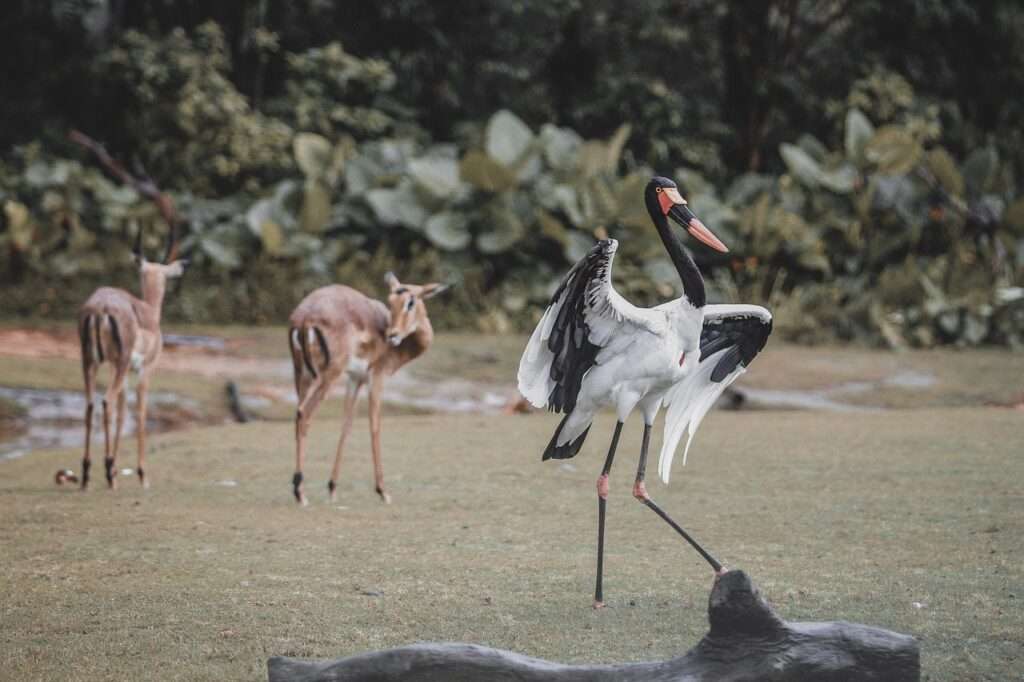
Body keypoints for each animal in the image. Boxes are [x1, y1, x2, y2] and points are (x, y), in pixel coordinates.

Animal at [70, 131, 187, 490]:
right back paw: (107, 472)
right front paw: (142, 473)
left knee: (91, 404)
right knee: (106, 401)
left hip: (90, 361)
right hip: (119, 364)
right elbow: (141, 412)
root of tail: (98, 308)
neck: (149, 311)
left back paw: (87, 473)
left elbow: (123, 412)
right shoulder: (144, 368)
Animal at [288, 273, 450, 505]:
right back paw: (300, 493)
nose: (392, 335)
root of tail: (304, 316)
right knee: (305, 414)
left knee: (298, 415)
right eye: (391, 300)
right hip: (328, 376)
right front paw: (383, 491)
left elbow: (346, 425)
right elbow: (375, 426)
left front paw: (332, 488)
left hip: (302, 375)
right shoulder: (377, 377)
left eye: (411, 301)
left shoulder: (355, 379)